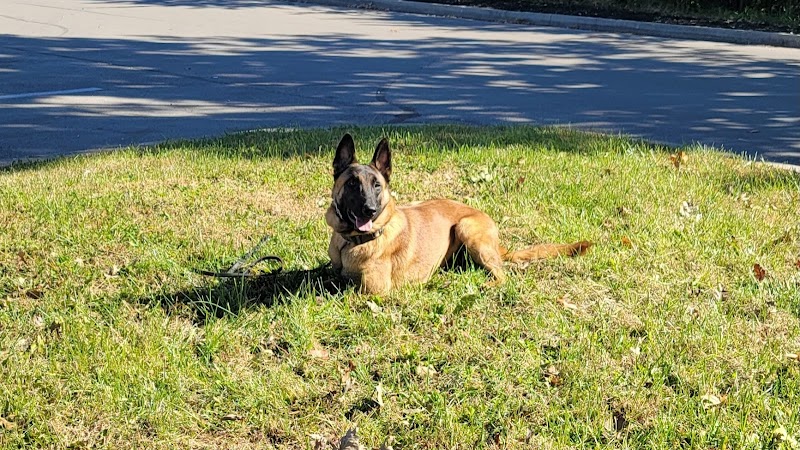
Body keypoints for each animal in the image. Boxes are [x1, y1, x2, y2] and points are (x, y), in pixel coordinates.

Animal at [325, 134, 592, 294]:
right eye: (352, 183)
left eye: (377, 186)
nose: (369, 210)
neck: (353, 242)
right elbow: (323, 277)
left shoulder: (372, 291)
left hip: (467, 229)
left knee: (502, 274)